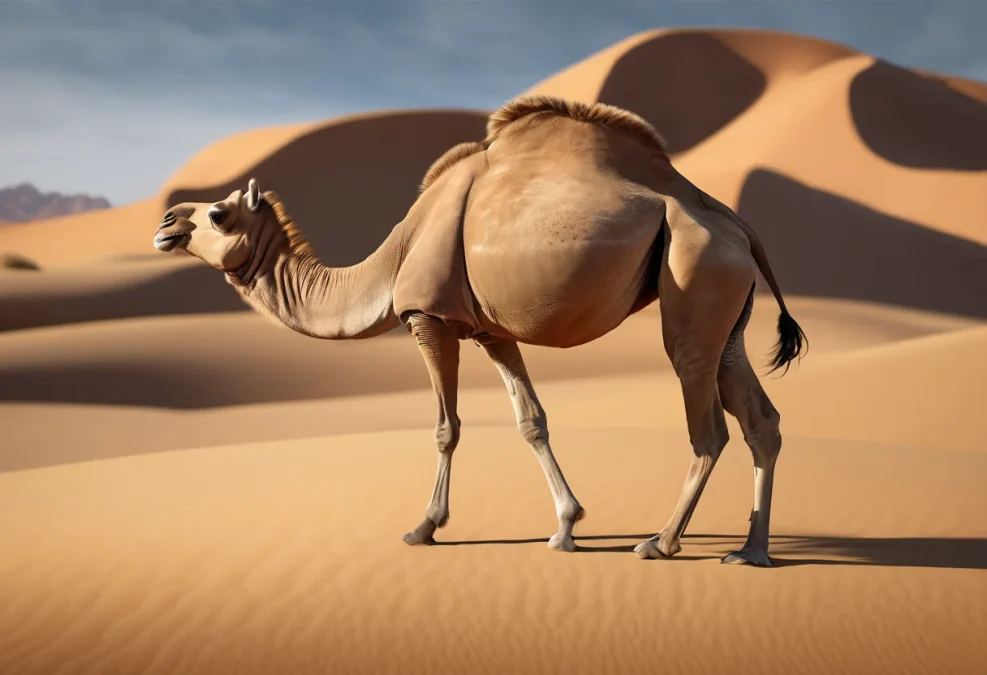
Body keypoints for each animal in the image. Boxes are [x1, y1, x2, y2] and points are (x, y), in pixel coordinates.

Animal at [153, 95, 806, 567]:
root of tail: (740, 225)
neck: (392, 259)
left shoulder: (428, 317)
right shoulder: (491, 331)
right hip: (727, 307)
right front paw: (566, 527)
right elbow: (531, 420)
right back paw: (751, 552)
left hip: (695, 276)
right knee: (761, 420)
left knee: (708, 425)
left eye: (217, 214)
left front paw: (424, 527)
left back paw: (661, 543)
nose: (166, 221)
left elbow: (447, 427)